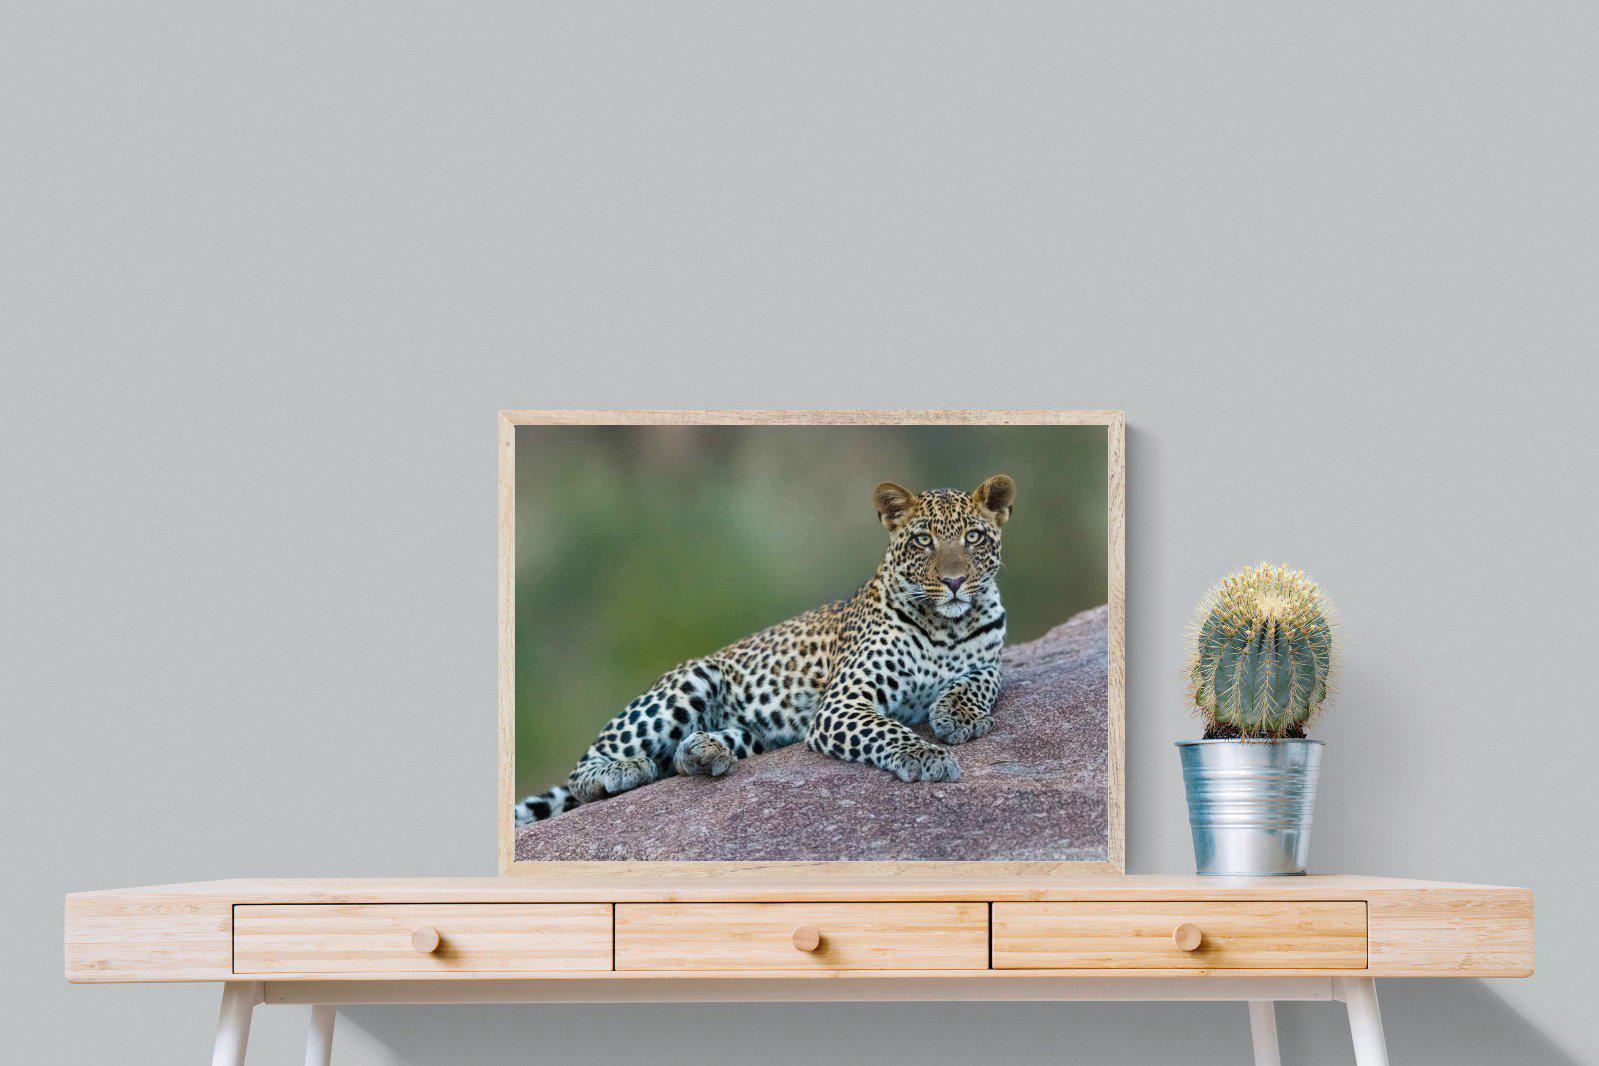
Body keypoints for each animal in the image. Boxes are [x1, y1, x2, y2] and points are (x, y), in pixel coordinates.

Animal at [515, 474, 1016, 824]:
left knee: (682, 756)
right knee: (586, 769)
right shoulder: (842, 704)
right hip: (691, 680)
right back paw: (623, 770)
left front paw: (959, 716)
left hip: (758, 732)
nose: (954, 581)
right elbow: (889, 731)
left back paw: (704, 752)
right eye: (923, 540)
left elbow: (978, 682)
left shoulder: (991, 662)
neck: (947, 625)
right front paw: (928, 756)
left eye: (972, 537)